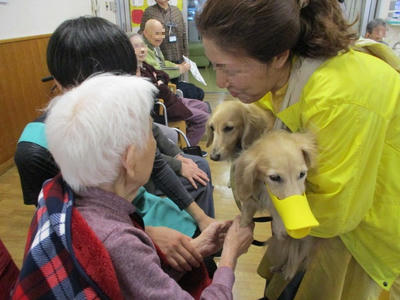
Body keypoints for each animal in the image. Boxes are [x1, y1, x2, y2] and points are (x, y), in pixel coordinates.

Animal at [233, 130, 318, 280]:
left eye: (302, 174)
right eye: (274, 177)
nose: (302, 226)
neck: (265, 190)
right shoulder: (251, 201)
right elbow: (245, 218)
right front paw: (241, 233)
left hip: (303, 242)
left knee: (297, 258)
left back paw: (288, 272)